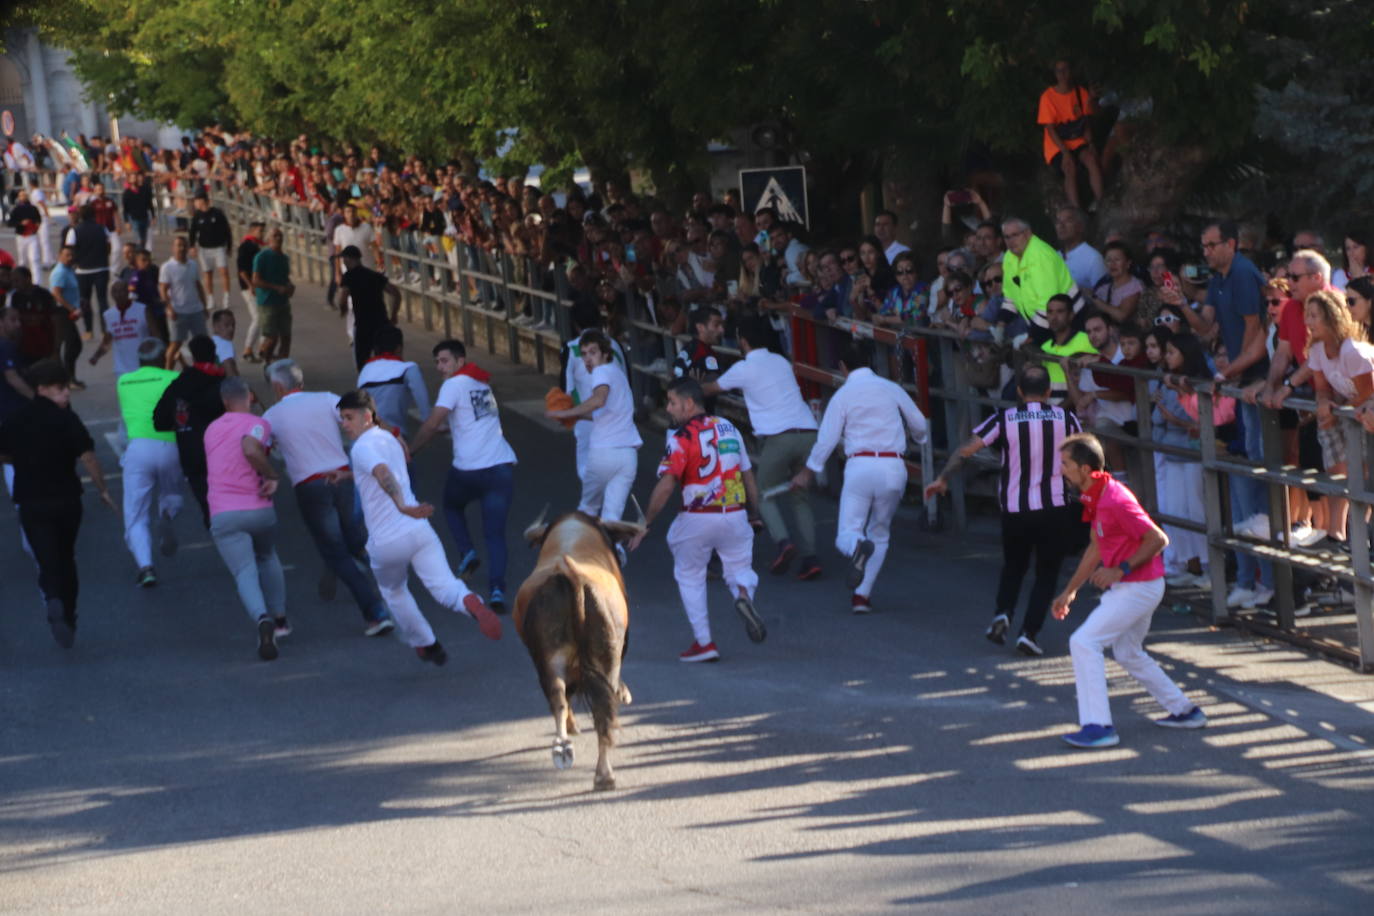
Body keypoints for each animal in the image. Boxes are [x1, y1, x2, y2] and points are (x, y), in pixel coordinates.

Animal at [516, 505, 643, 791]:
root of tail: (571, 572)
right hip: (606, 657)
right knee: (601, 710)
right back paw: (604, 775)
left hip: (547, 658)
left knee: (559, 697)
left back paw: (563, 746)